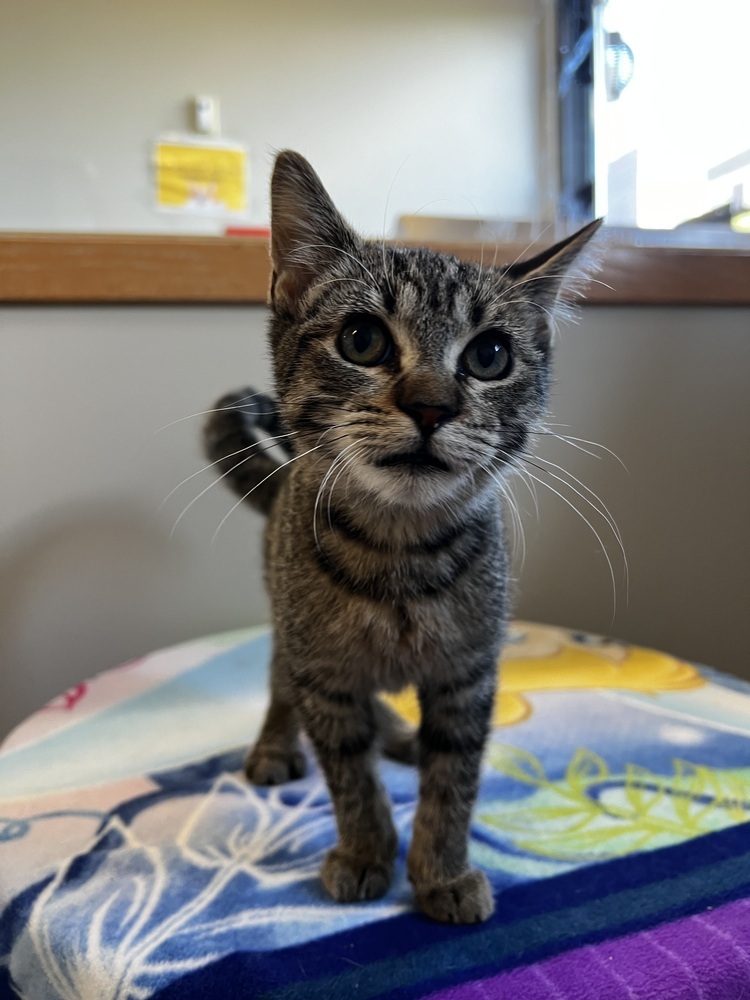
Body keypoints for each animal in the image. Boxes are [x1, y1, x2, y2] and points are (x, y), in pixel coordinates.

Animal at [203, 152, 604, 924]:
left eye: (491, 355)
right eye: (362, 340)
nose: (431, 405)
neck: (398, 553)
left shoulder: (467, 674)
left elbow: (454, 779)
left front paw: (441, 870)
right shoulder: (324, 675)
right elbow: (348, 776)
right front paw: (366, 852)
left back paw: (396, 734)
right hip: (288, 624)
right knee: (281, 684)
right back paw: (278, 743)